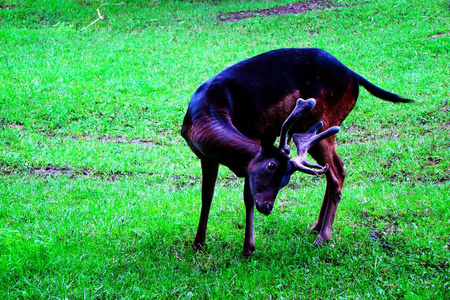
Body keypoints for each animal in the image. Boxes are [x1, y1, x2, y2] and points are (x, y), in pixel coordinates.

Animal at [180, 48, 412, 256]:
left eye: (285, 181)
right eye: (271, 166)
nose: (267, 207)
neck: (208, 110)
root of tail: (355, 76)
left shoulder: (254, 138)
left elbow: (247, 196)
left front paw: (248, 248)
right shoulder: (206, 157)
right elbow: (206, 195)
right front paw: (198, 243)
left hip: (326, 120)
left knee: (336, 173)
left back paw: (322, 238)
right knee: (334, 168)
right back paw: (316, 226)